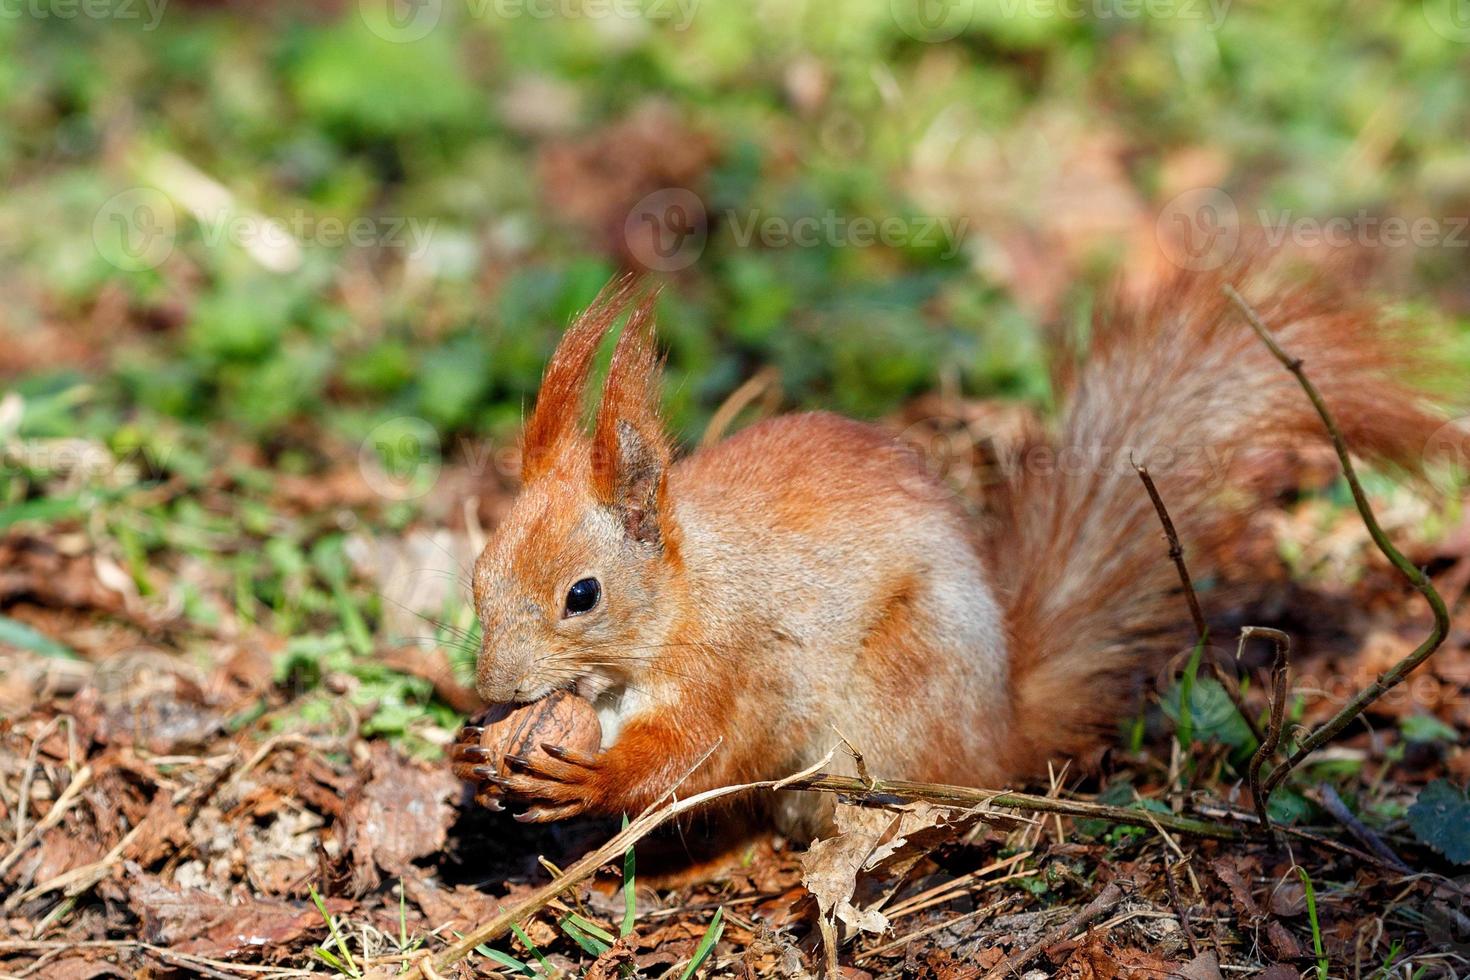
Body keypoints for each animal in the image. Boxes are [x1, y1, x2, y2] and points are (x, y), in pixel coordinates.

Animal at [455, 262, 1446, 834]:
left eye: (582, 595)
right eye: (476, 575)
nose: (496, 688)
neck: (688, 596)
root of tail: (1000, 729)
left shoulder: (737, 669)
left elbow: (695, 756)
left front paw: (592, 780)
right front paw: (471, 755)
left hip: (891, 705)